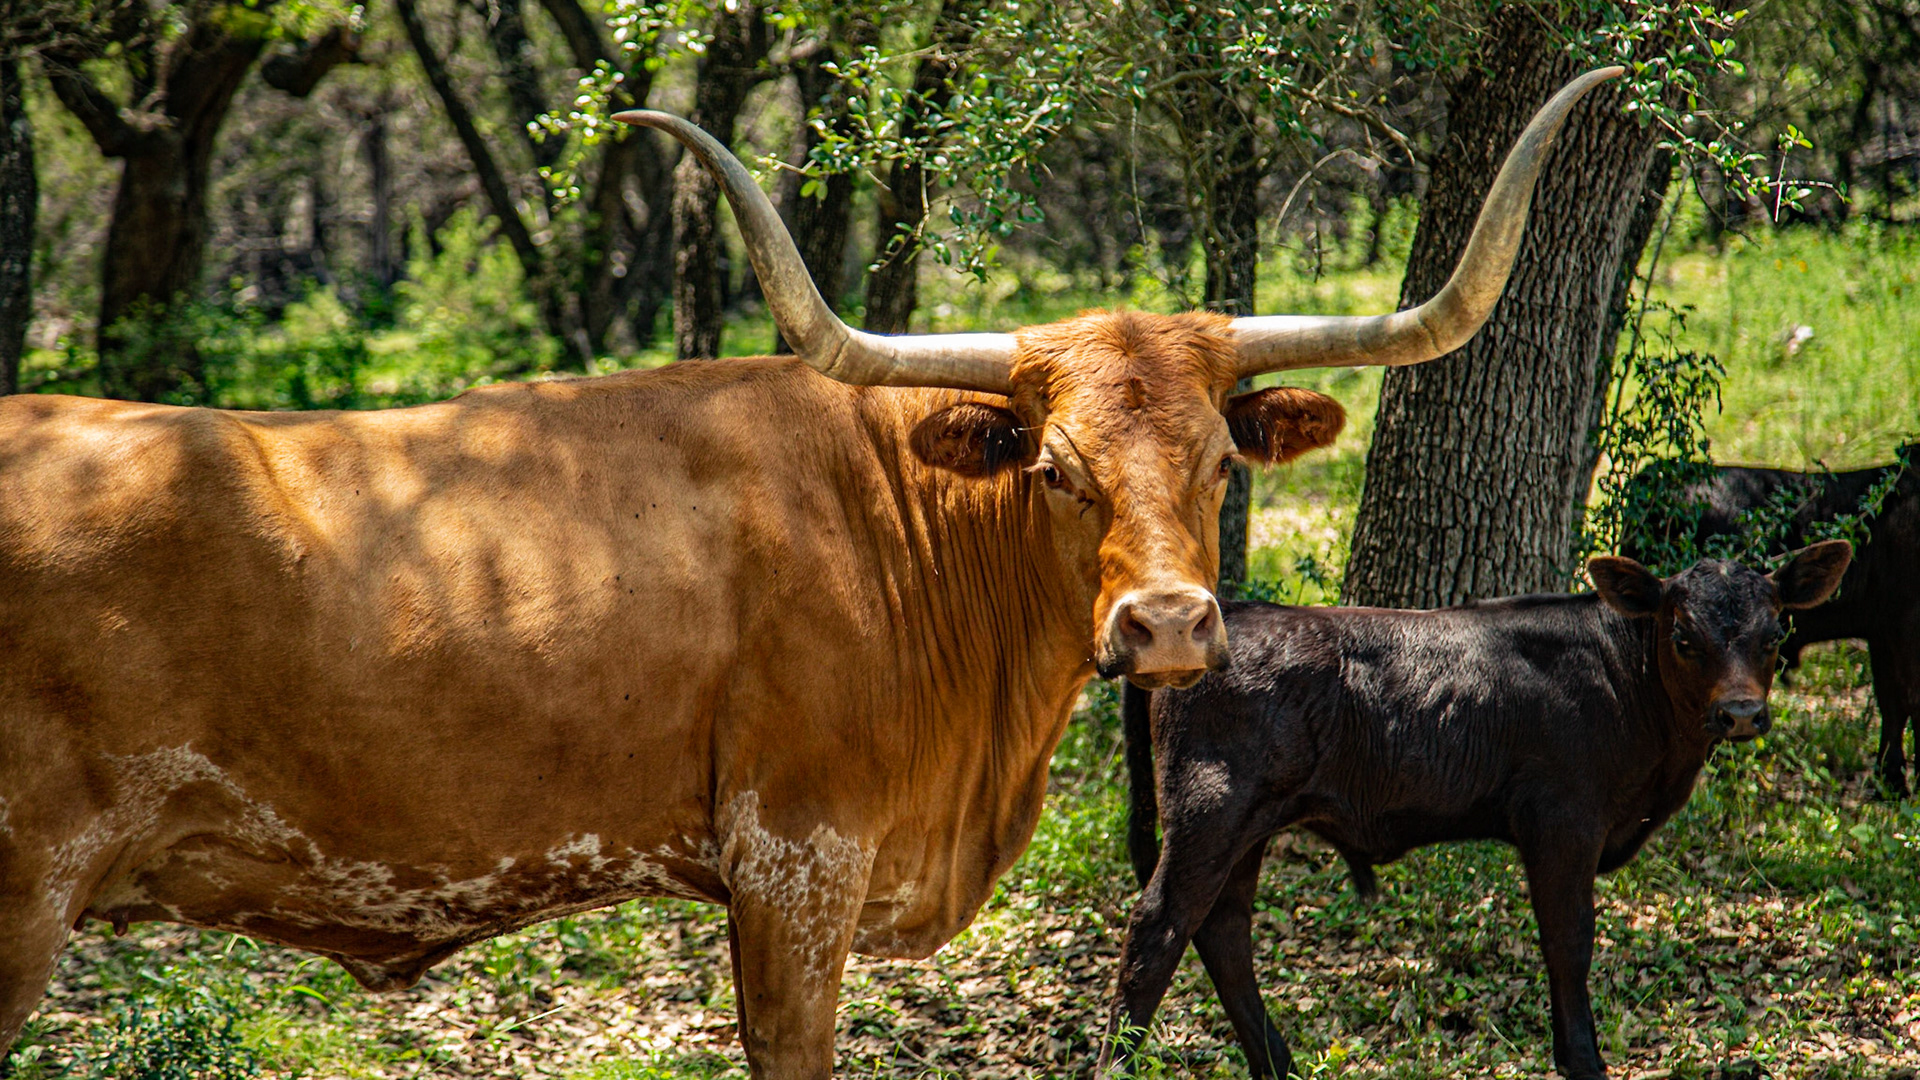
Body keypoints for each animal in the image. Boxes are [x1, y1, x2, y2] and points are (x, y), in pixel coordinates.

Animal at [1101, 542, 1852, 1080]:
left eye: (1774, 634)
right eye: (1684, 638)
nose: (1741, 713)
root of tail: (1224, 614)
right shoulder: (1563, 821)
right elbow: (1569, 939)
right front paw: (1583, 1060)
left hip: (1247, 823)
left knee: (1222, 928)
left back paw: (1276, 1066)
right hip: (1212, 808)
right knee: (1157, 930)